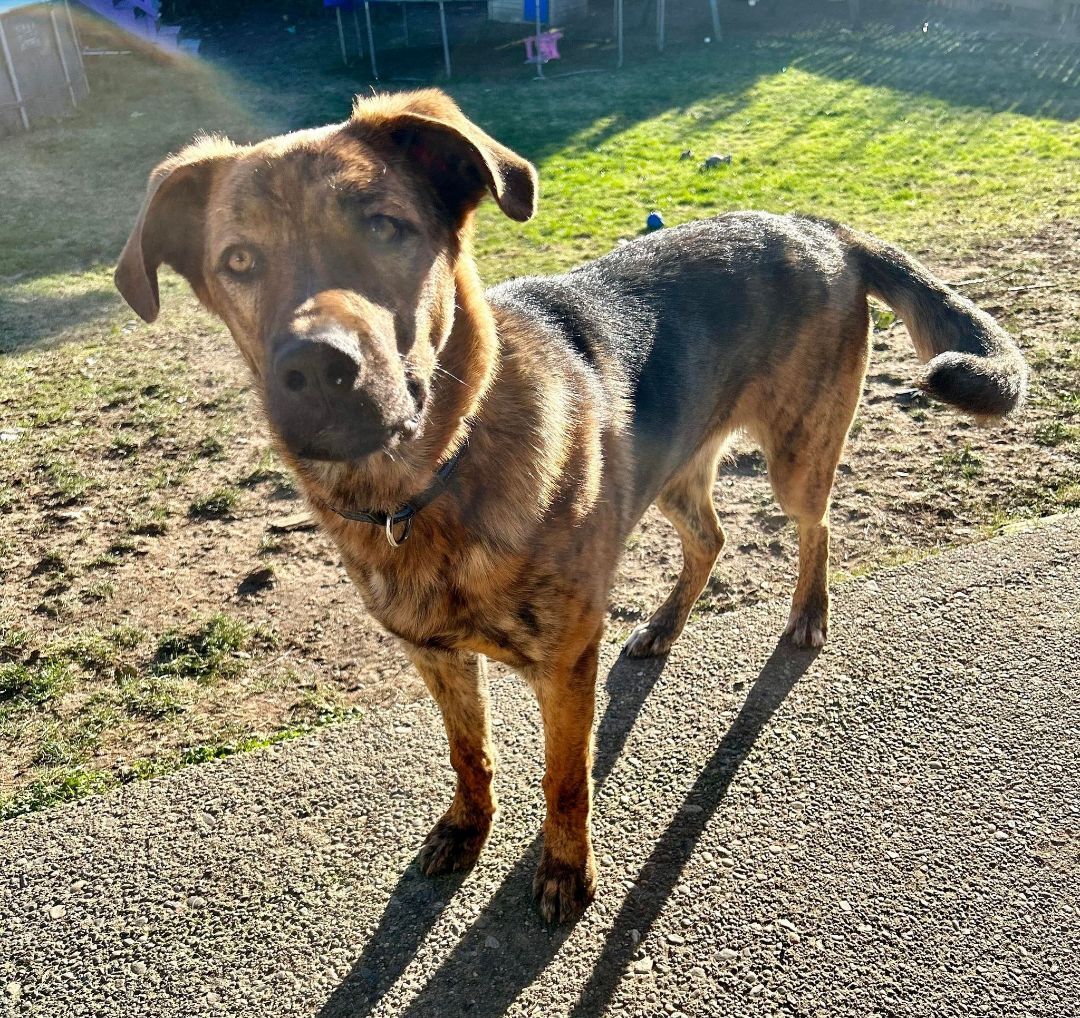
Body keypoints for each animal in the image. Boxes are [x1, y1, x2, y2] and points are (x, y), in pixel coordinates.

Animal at [113, 91, 1023, 928]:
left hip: (796, 458)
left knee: (816, 526)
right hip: (672, 470)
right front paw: (467, 827)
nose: (316, 370)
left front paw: (563, 871)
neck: (431, 481)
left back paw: (807, 614)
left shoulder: (562, 666)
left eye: (385, 228)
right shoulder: (438, 657)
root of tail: (820, 227)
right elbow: (469, 754)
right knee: (711, 537)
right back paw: (661, 627)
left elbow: (564, 780)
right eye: (238, 260)